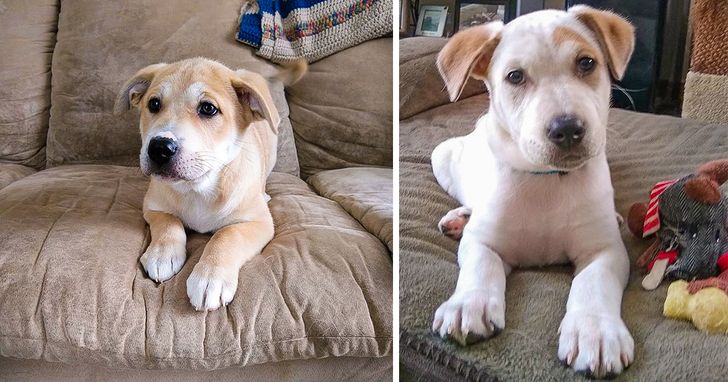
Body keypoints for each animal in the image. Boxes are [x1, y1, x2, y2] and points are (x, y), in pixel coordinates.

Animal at [114, 59, 308, 310]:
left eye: (208, 109)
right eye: (153, 104)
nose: (159, 149)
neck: (198, 189)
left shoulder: (259, 223)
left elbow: (227, 235)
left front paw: (210, 276)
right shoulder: (153, 206)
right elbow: (168, 222)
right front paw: (162, 254)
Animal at [432, 5, 636, 380]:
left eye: (586, 63)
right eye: (515, 76)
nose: (567, 129)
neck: (547, 179)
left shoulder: (605, 250)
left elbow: (593, 281)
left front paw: (595, 330)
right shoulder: (483, 241)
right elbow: (481, 265)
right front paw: (469, 303)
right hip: (442, 155)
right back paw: (459, 218)